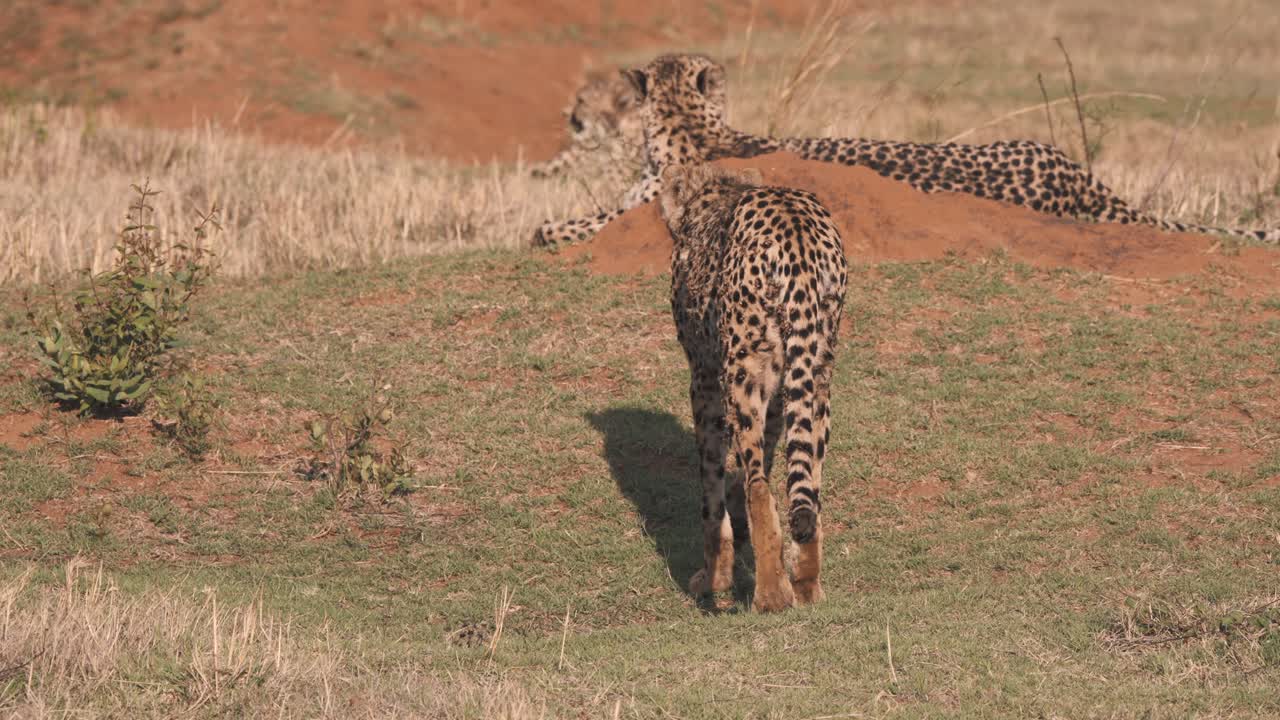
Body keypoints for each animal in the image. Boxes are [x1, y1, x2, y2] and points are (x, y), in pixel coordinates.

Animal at [533, 53, 1280, 247]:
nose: (577, 119)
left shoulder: (642, 202)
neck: (689, 124)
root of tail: (1078, 177)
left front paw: (544, 230)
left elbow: (572, 224)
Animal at [661, 160, 847, 612]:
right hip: (817, 371)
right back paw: (806, 584)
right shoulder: (780, 390)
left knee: (760, 489)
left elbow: (712, 485)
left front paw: (714, 576)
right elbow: (767, 456)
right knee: (809, 486)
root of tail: (796, 226)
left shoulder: (705, 378)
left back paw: (772, 595)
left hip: (744, 371)